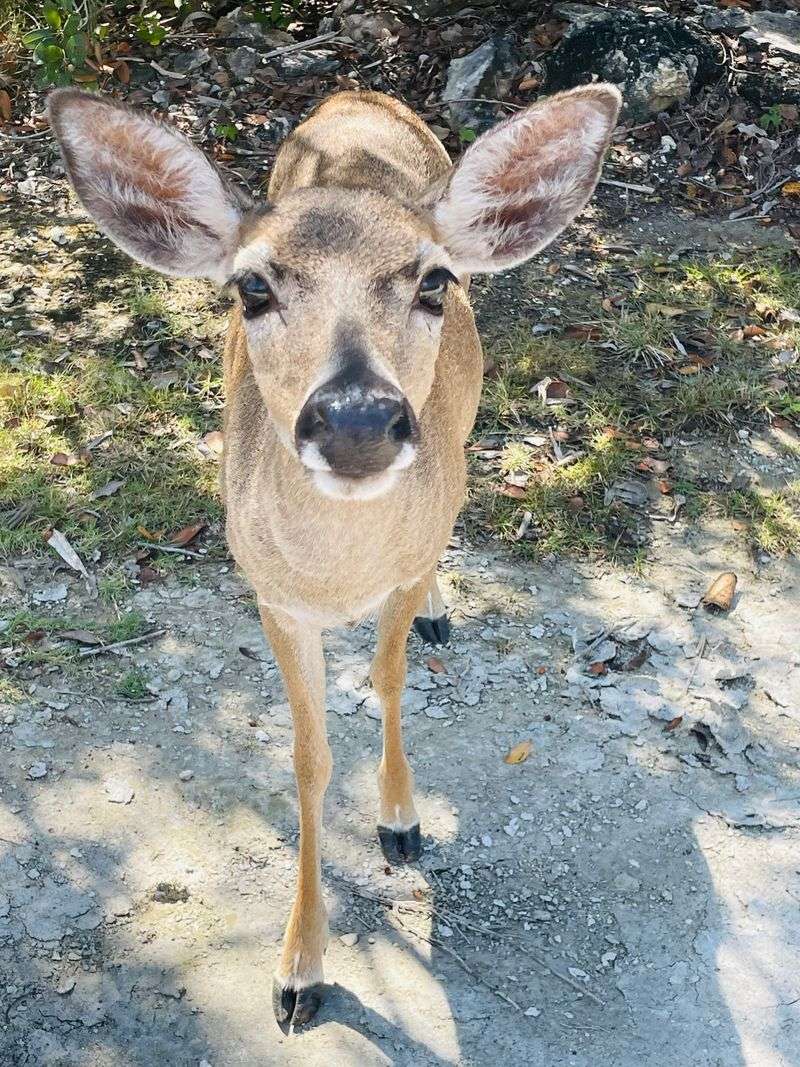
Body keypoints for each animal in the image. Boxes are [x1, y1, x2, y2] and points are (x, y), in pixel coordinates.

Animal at [48, 80, 621, 1029]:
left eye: (432, 280)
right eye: (252, 285)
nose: (356, 419)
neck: (341, 575)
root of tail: (358, 91)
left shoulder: (399, 565)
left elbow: (387, 680)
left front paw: (401, 822)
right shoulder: (272, 596)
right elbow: (308, 761)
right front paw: (297, 973)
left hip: (467, 420)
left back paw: (438, 614)